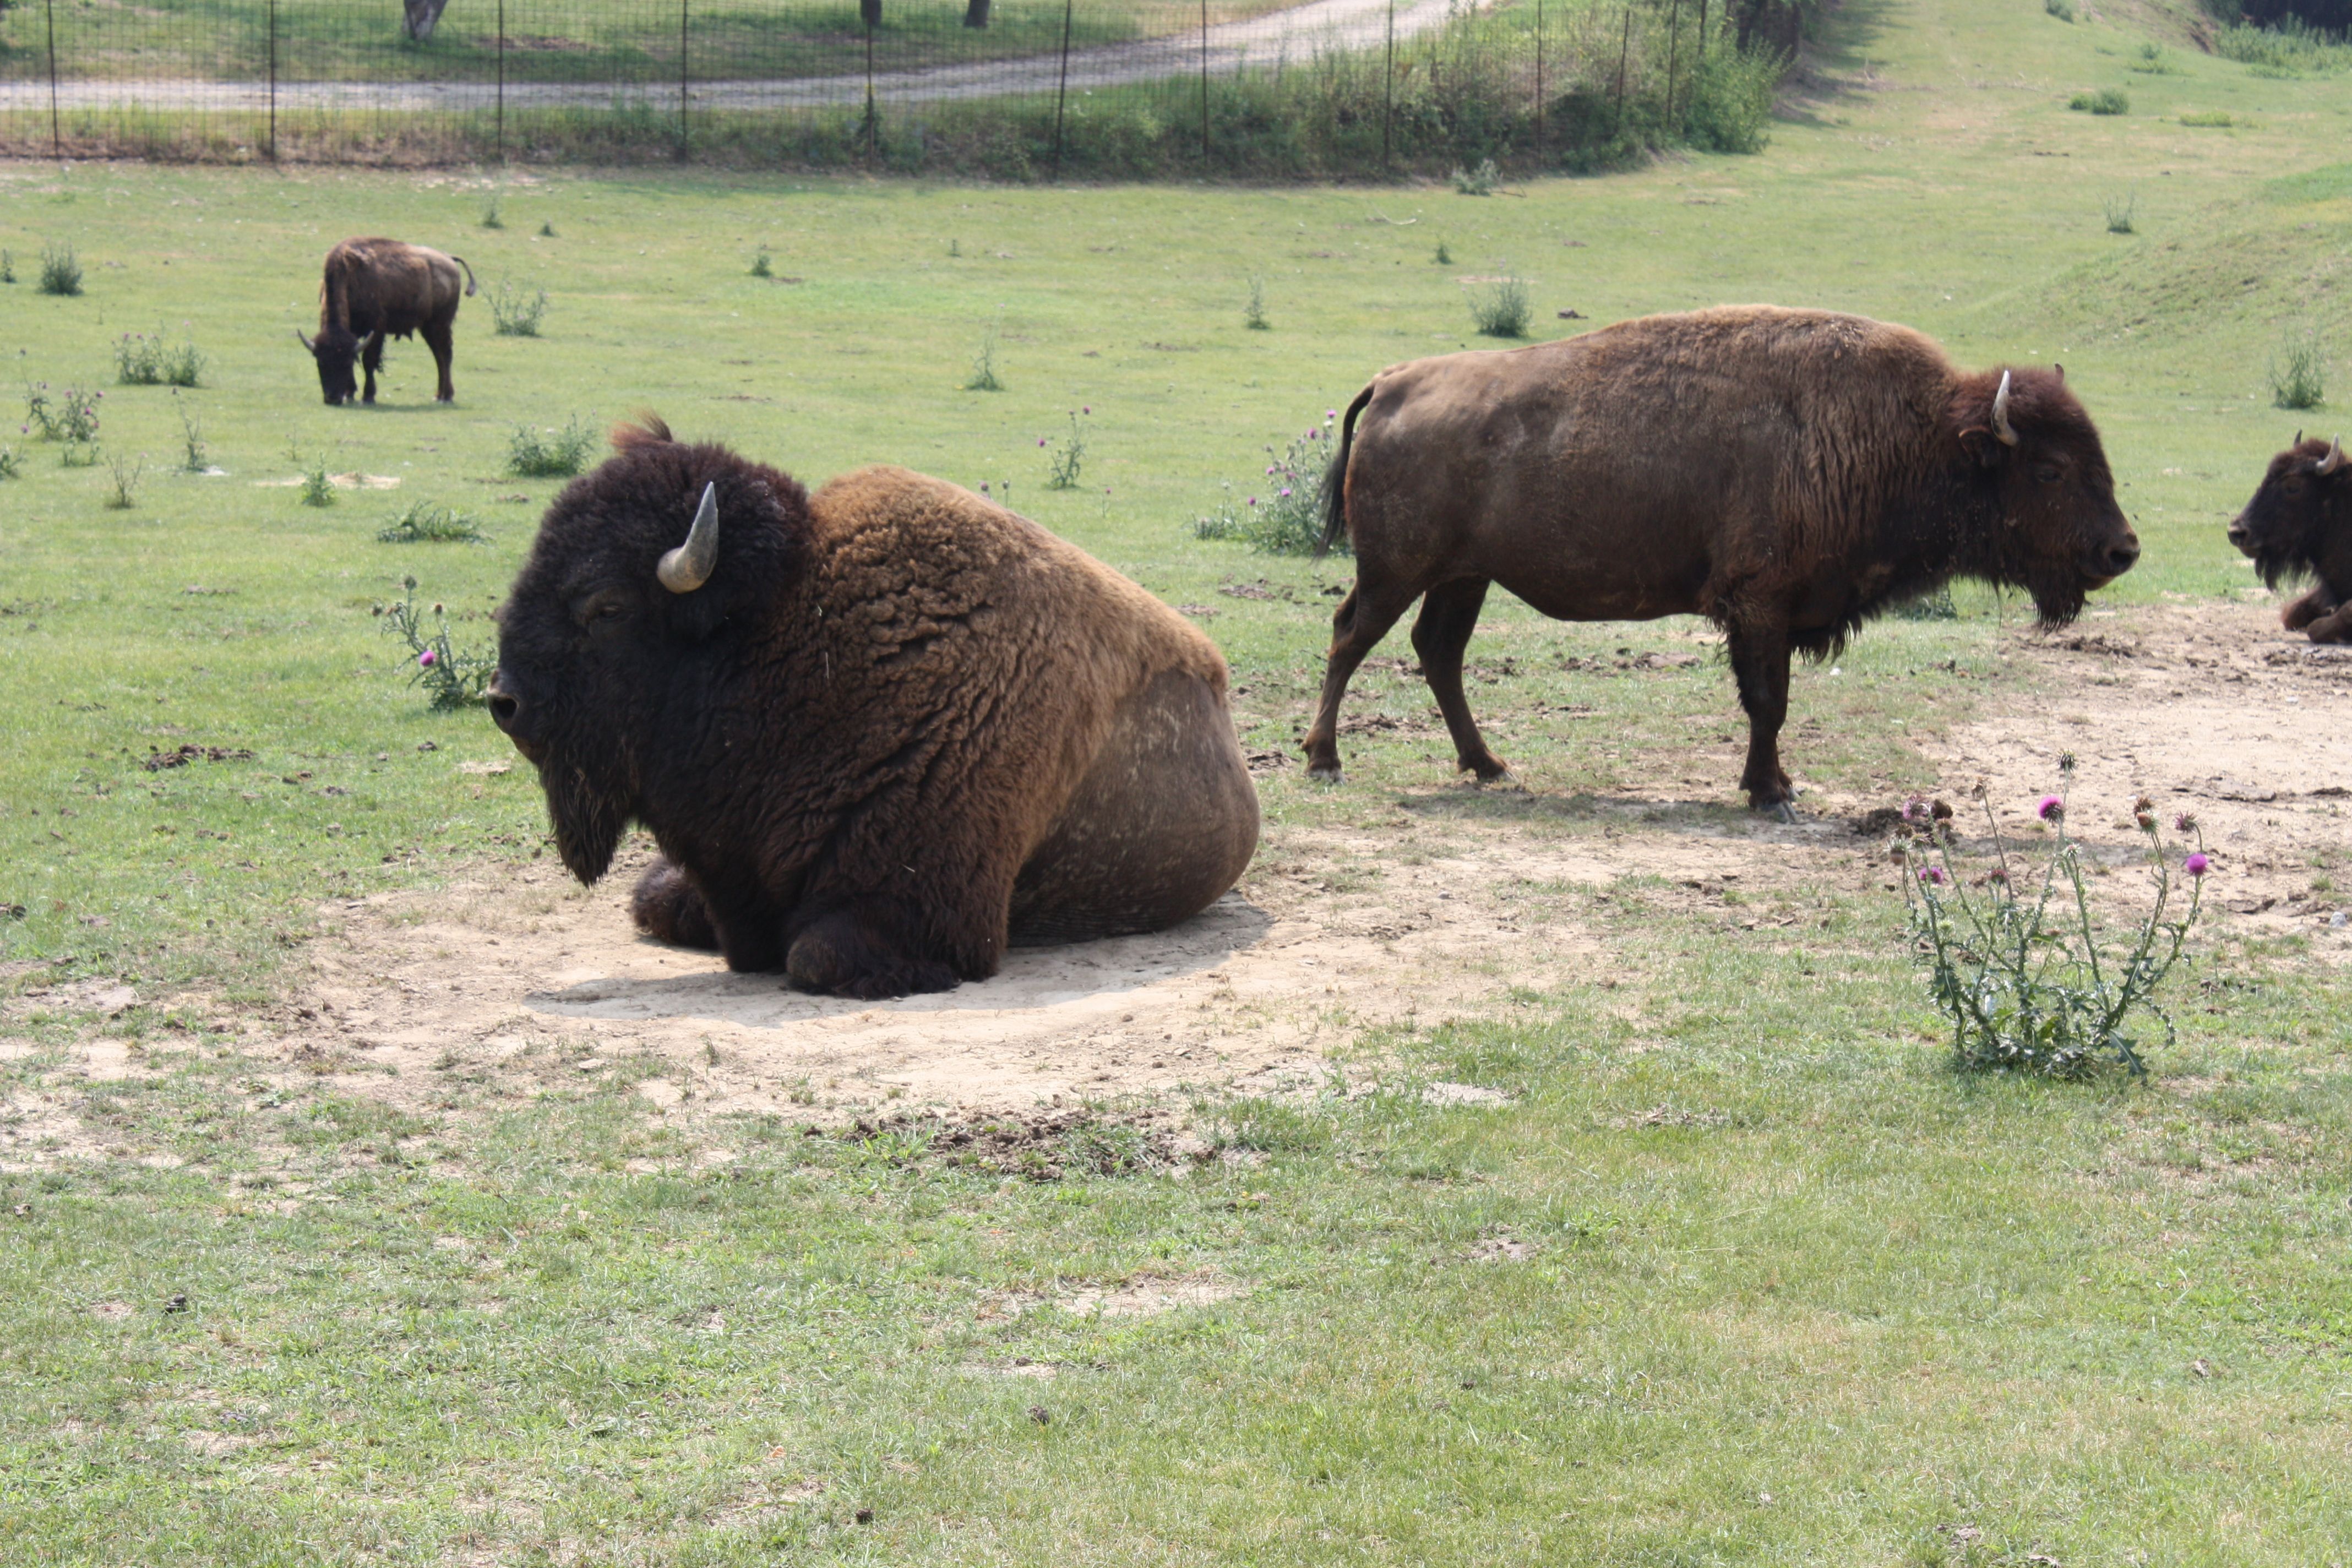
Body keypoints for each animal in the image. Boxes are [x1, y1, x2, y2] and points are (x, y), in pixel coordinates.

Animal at [295, 238, 475, 406]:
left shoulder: (376, 329)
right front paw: (350, 394)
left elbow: (369, 361)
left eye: (345, 364)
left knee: (446, 355)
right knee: (439, 356)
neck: (349, 276)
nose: (332, 398)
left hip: (441, 324)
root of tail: (449, 259)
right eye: (320, 363)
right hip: (427, 327)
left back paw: (447, 397)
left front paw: (368, 397)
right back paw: (438, 395)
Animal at [486, 419, 1260, 1000]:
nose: (504, 702)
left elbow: (814, 956)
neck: (787, 634)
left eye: (606, 606)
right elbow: (659, 899)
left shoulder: (919, 910)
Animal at [1304, 306, 2141, 814]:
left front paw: (1776, 783)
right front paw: (1771, 791)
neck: (1915, 437)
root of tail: (1392, 383)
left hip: (1463, 577)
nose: (2122, 549)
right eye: (2049, 470)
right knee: (1351, 636)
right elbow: (1768, 701)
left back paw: (1488, 765)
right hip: (1396, 571)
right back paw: (1325, 760)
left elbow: (1770, 702)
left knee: (1437, 652)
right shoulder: (1759, 605)